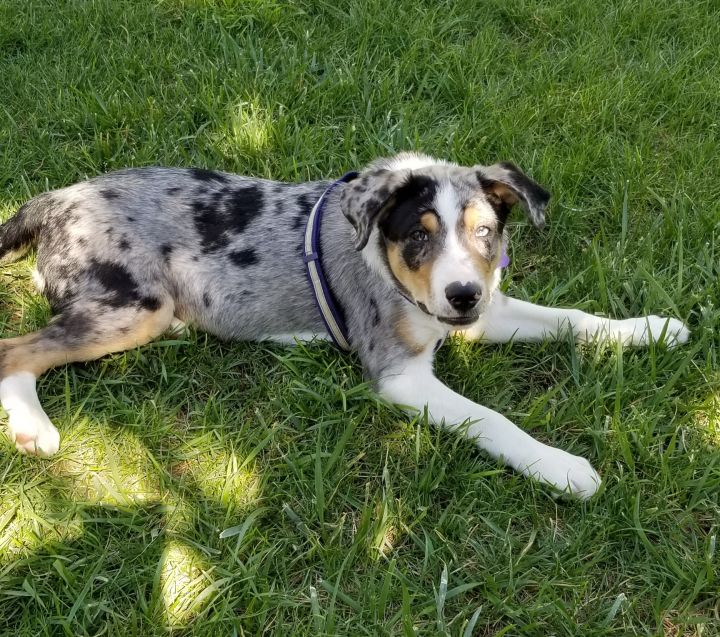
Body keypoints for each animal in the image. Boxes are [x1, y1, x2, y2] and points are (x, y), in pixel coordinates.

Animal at [0, 153, 688, 496]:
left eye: (486, 232)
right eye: (418, 236)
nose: (463, 294)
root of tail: (56, 198)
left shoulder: (480, 316)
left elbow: (572, 318)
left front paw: (652, 330)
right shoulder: (400, 375)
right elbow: (492, 420)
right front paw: (562, 468)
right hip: (132, 307)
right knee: (14, 350)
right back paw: (34, 428)